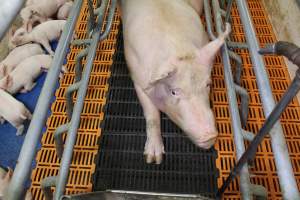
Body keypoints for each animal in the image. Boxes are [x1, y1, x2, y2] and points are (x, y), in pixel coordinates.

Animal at [118, 0, 231, 164]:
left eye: (208, 84)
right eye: (173, 91)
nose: (210, 136)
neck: (179, 49)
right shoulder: (139, 80)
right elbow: (152, 115)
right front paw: (154, 159)